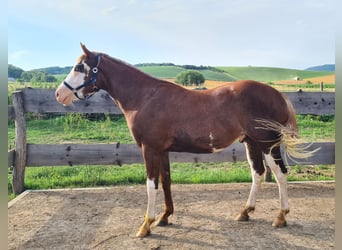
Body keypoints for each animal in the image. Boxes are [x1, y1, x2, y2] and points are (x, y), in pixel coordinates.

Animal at [55, 43, 316, 238]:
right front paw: (164, 217)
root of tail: (278, 94)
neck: (145, 97)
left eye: (79, 66)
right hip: (251, 143)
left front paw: (146, 225)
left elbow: (151, 184)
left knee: (280, 173)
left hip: (267, 144)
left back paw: (280, 217)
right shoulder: (162, 150)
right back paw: (245, 212)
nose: (60, 94)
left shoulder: (149, 149)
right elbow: (166, 181)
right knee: (258, 173)